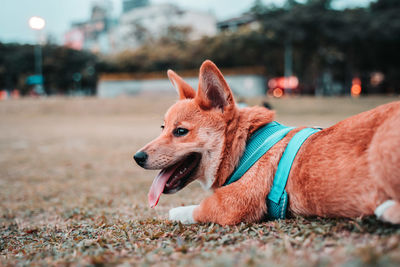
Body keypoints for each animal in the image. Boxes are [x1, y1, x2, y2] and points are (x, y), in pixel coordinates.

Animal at [134, 60, 400, 226]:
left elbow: (197, 208)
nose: (137, 157)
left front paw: (176, 212)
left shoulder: (232, 203)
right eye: (163, 128)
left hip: (381, 148)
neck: (246, 147)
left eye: (180, 131)